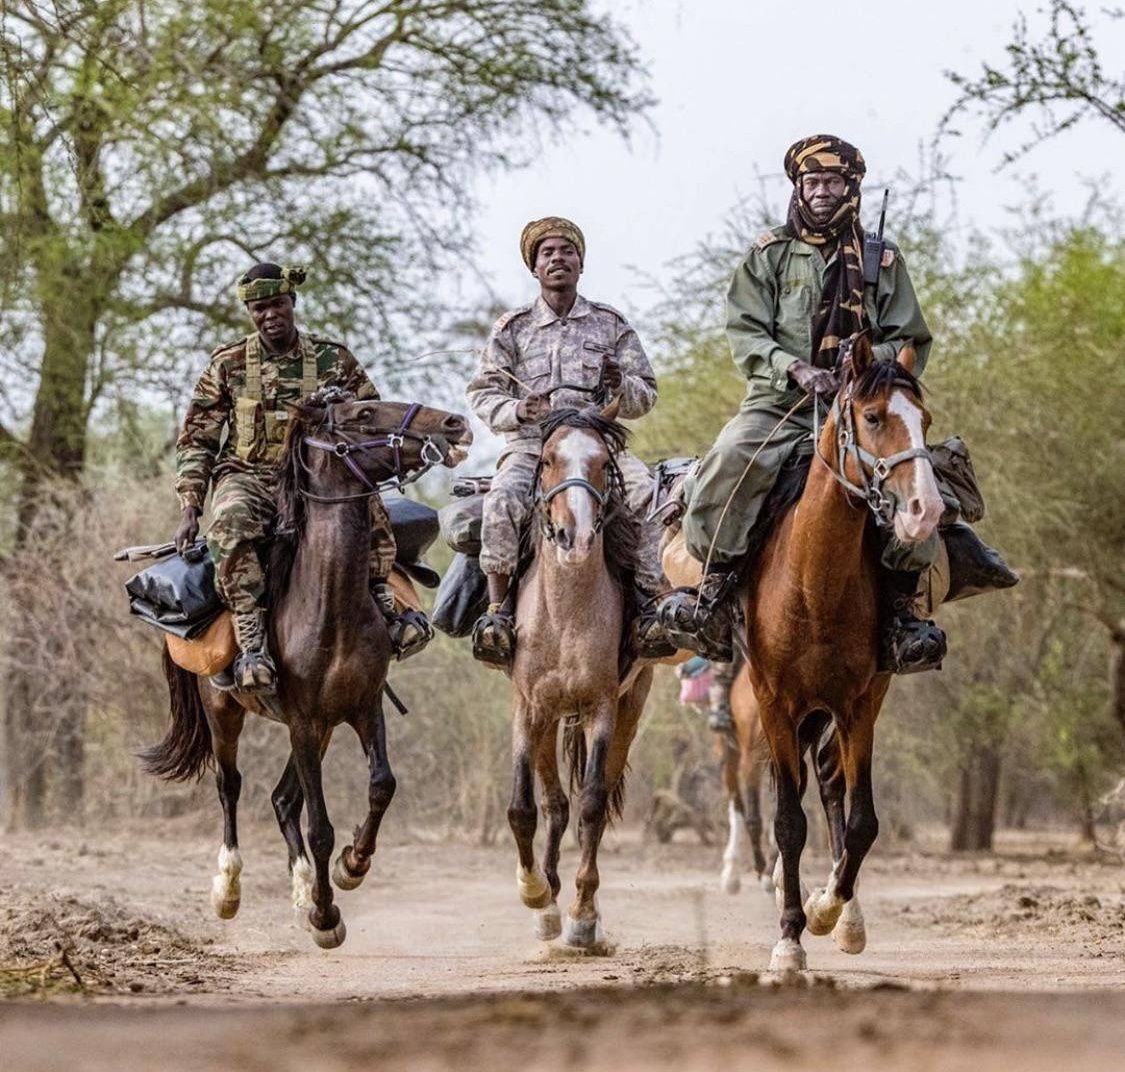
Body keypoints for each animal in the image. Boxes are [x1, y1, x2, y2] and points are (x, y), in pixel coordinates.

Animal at [141, 391, 470, 944]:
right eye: (363, 415)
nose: (453, 423)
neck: (328, 604)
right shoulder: (302, 720)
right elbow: (320, 827)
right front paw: (325, 913)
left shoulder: (362, 708)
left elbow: (382, 786)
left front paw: (352, 866)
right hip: (227, 714)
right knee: (230, 786)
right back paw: (229, 889)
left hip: (323, 730)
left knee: (281, 799)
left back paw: (300, 887)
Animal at [506, 400, 657, 944]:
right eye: (549, 458)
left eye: (600, 462)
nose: (576, 538)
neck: (568, 611)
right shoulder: (527, 707)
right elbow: (523, 806)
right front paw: (534, 893)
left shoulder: (601, 709)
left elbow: (592, 803)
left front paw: (583, 916)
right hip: (547, 718)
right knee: (553, 802)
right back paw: (546, 896)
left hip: (629, 710)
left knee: (594, 797)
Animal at [742, 339, 945, 976]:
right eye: (874, 417)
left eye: (925, 420)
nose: (924, 510)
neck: (815, 583)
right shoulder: (774, 702)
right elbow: (788, 822)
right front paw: (789, 939)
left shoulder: (862, 703)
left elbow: (863, 822)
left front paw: (830, 909)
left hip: (830, 712)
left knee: (832, 783)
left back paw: (843, 909)